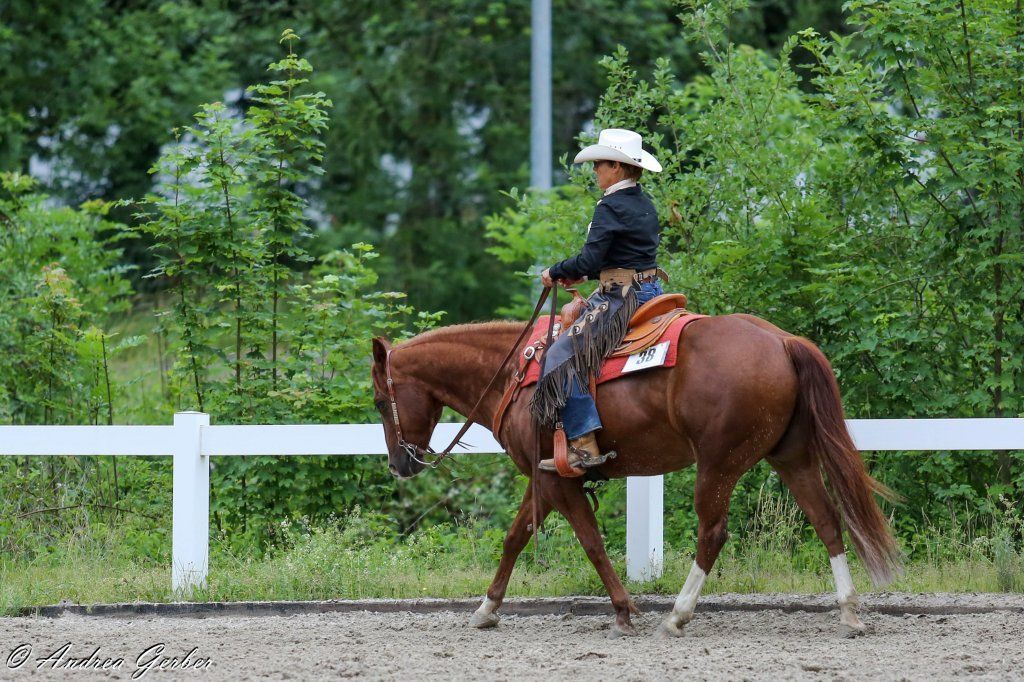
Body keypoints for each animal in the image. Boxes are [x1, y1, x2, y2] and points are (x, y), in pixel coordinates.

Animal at [369, 309, 901, 638]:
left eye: (378, 399)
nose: (399, 464)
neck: (514, 375)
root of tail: (781, 340)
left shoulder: (557, 481)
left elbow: (590, 542)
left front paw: (625, 611)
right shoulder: (542, 478)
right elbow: (515, 538)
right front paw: (486, 609)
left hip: (719, 462)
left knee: (713, 533)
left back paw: (678, 616)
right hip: (791, 456)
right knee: (827, 519)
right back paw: (850, 612)